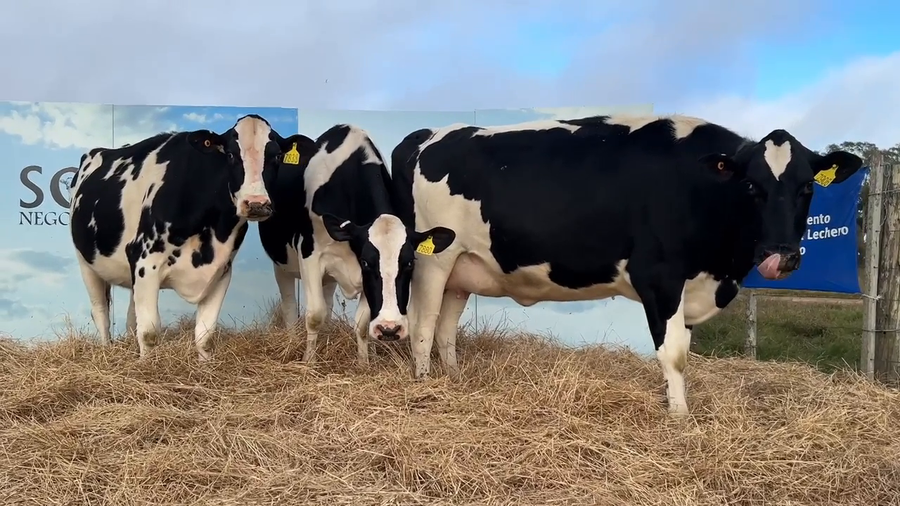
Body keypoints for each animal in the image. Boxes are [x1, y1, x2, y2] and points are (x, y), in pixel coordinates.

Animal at [69, 114, 295, 360]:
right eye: (230, 154)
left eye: (277, 156)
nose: (256, 203)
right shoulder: (145, 260)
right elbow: (149, 333)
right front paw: (147, 365)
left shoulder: (221, 270)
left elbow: (205, 335)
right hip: (86, 263)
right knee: (100, 311)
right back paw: (106, 350)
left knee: (131, 314)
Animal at [257, 123, 455, 365]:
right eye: (367, 262)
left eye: (410, 263)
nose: (390, 329)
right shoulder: (311, 256)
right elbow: (314, 316)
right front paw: (308, 362)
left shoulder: (362, 280)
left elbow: (361, 324)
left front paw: (364, 363)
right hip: (282, 264)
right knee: (289, 306)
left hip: (327, 278)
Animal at [388, 114, 863, 417]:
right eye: (751, 185)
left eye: (807, 187)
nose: (782, 254)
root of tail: (430, 134)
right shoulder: (660, 277)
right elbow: (674, 353)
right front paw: (679, 417)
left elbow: (683, 350)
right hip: (434, 259)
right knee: (424, 324)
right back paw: (423, 384)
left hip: (462, 269)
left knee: (446, 328)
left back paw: (452, 379)